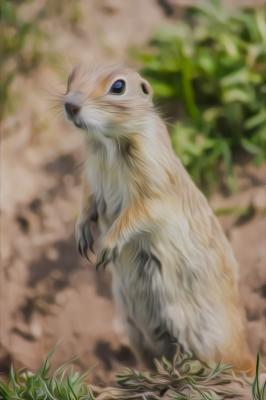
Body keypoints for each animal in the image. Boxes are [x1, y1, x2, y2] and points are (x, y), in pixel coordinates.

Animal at [61, 63, 254, 376]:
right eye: (72, 75)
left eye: (118, 86)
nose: (70, 105)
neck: (107, 145)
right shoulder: (90, 174)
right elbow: (87, 200)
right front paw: (81, 235)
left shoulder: (154, 180)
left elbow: (141, 211)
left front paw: (107, 247)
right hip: (135, 330)